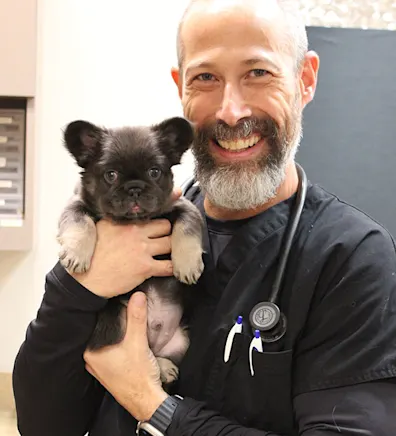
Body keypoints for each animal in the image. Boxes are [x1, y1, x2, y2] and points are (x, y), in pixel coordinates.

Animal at [57, 116, 206, 384]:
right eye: (111, 175)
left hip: (182, 340)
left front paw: (188, 263)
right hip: (120, 320)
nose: (134, 188)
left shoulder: (181, 205)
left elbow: (187, 225)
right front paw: (75, 253)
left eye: (154, 172)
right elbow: (79, 220)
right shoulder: (76, 204)